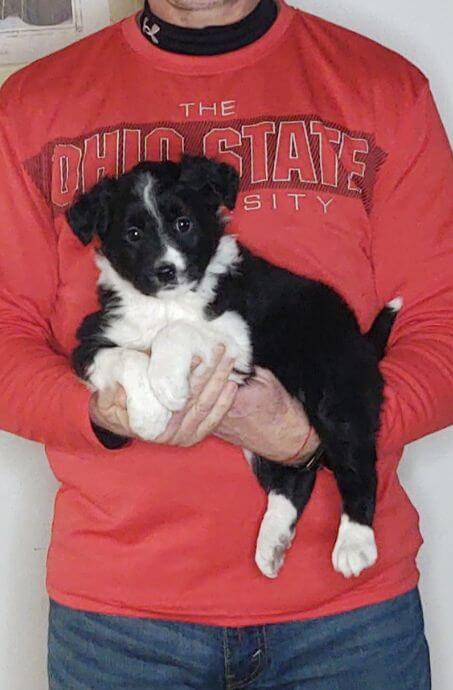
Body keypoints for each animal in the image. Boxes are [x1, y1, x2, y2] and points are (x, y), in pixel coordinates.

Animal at [66, 153, 400, 576]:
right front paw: (148, 413)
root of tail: (360, 337)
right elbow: (124, 356)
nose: (166, 271)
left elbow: (176, 331)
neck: (164, 303)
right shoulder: (90, 339)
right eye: (134, 234)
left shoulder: (237, 339)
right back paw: (273, 541)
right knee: (295, 477)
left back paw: (355, 543)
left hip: (338, 391)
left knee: (356, 460)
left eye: (183, 224)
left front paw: (166, 384)